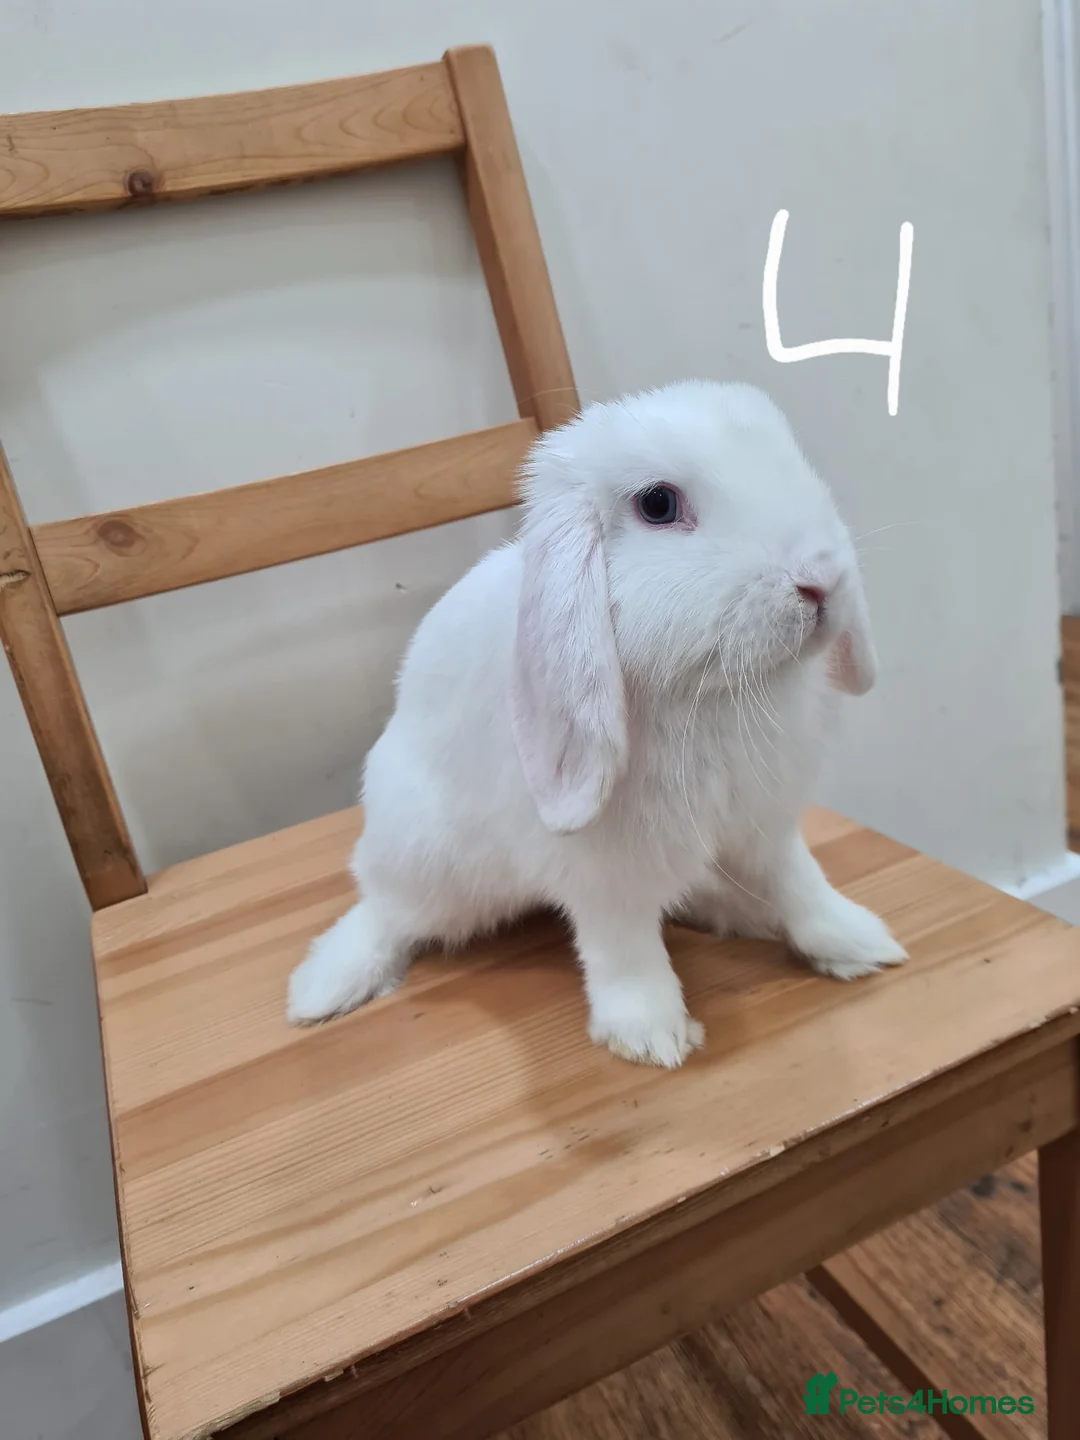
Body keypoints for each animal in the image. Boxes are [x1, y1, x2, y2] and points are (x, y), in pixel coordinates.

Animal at [286, 379, 906, 1067]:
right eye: (658, 504)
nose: (821, 580)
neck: (709, 696)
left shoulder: (763, 827)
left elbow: (802, 885)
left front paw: (857, 944)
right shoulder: (605, 873)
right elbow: (624, 947)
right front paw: (652, 1037)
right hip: (426, 861)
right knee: (387, 913)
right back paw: (325, 987)